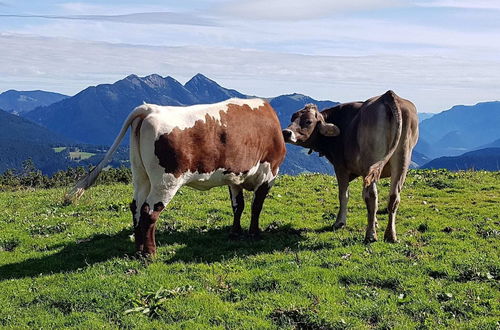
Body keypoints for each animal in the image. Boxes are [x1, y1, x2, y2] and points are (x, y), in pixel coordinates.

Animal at [66, 99, 286, 256]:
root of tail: (150, 109)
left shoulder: (235, 178)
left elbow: (238, 206)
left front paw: (235, 232)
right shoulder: (269, 174)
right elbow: (256, 206)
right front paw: (254, 233)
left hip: (140, 175)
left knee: (136, 207)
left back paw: (139, 249)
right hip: (166, 181)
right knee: (149, 211)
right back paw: (150, 253)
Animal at [282, 90, 418, 242]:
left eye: (308, 121)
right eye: (292, 118)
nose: (286, 132)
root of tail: (388, 95)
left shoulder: (340, 166)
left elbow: (343, 195)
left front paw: (339, 222)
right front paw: (375, 222)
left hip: (371, 159)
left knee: (372, 196)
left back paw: (370, 235)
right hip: (402, 159)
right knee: (394, 196)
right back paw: (390, 235)